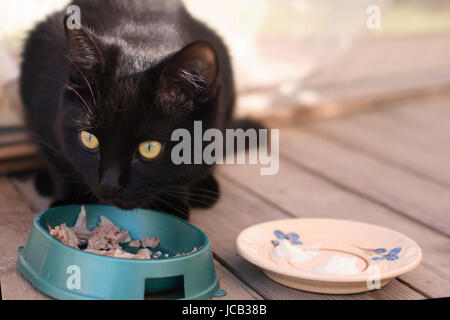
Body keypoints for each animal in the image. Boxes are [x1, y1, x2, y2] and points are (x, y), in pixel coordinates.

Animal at [20, 0, 241, 219]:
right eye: (89, 139)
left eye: (150, 148)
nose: (109, 186)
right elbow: (61, 164)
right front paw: (69, 203)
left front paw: (171, 209)